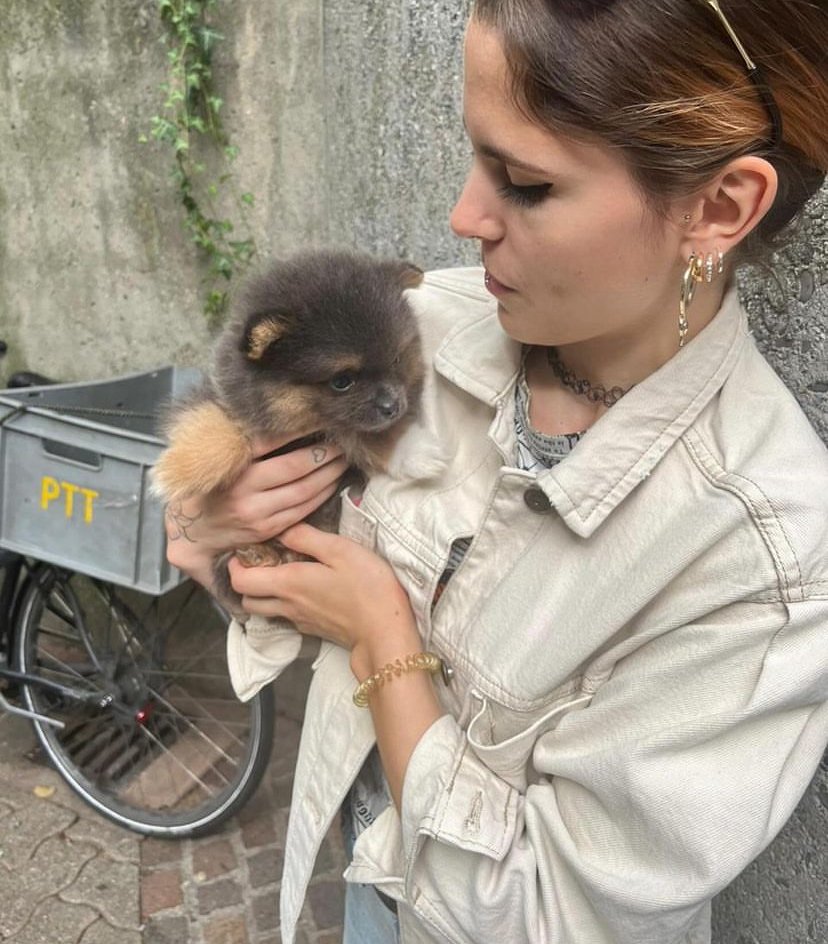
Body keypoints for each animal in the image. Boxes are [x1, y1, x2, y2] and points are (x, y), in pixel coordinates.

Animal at [153, 249, 426, 612]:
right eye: (342, 381)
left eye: (396, 358)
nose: (393, 405)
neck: (304, 430)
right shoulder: (220, 397)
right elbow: (219, 427)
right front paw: (179, 469)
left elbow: (358, 435)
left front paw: (426, 455)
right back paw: (258, 552)